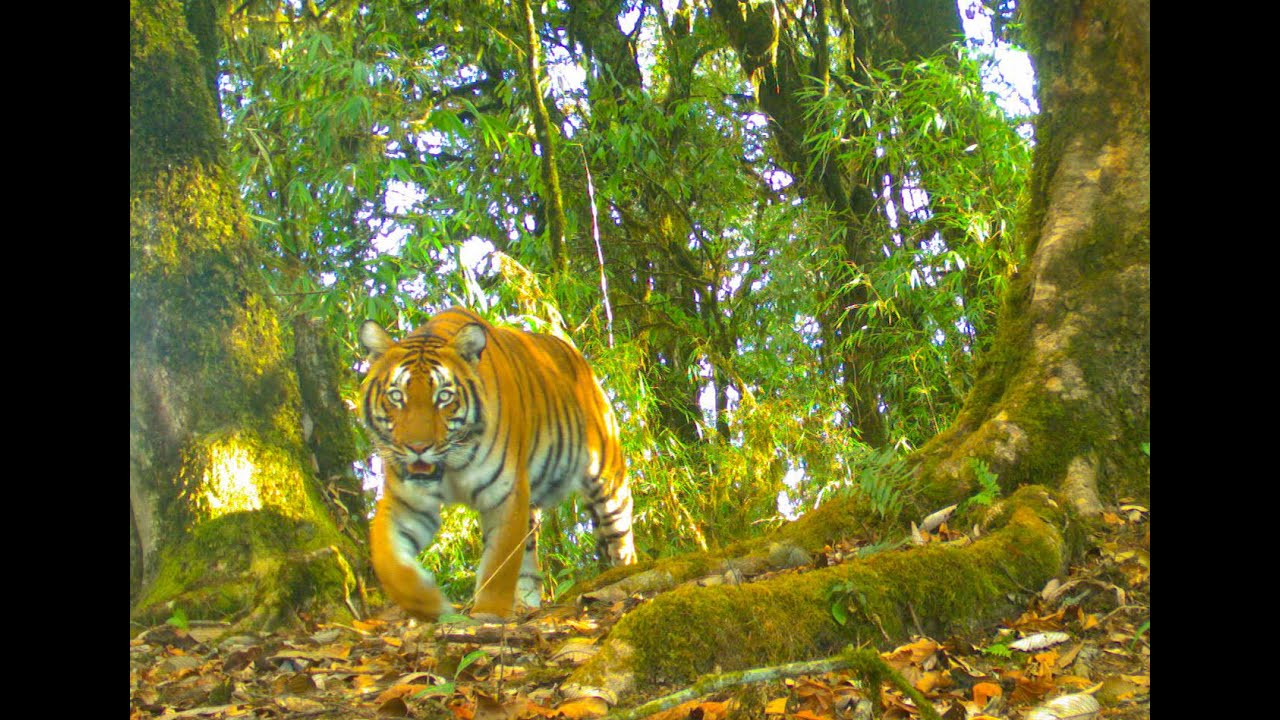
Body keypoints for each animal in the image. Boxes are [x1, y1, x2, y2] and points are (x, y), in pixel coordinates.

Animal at [359, 306, 636, 620]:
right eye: (397, 396)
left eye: (443, 397)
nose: (417, 448)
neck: (450, 466)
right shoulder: (407, 502)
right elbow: (386, 558)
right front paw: (427, 603)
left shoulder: (505, 495)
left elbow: (499, 565)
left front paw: (487, 614)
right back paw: (526, 604)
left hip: (608, 481)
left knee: (622, 541)